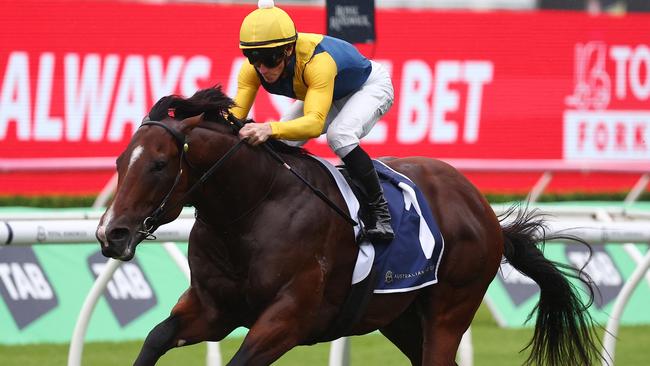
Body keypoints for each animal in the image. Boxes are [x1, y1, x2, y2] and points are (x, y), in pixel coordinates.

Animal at [93, 87, 600, 364]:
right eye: (119, 162)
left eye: (159, 165)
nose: (110, 234)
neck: (253, 208)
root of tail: (482, 207)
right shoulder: (214, 308)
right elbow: (155, 339)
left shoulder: (288, 317)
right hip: (398, 316)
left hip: (451, 308)